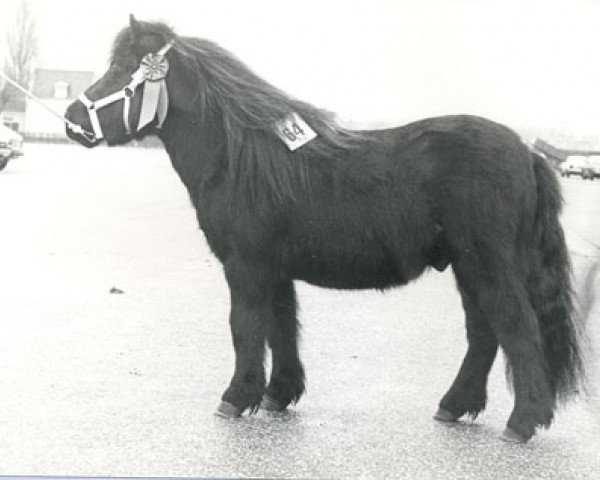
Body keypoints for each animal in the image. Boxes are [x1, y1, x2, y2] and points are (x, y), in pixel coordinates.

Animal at [67, 15, 584, 442]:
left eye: (123, 71)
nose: (72, 120)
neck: (242, 158)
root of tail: (528, 154)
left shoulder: (245, 266)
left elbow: (246, 327)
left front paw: (236, 397)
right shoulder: (274, 270)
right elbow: (281, 327)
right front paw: (278, 394)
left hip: (489, 266)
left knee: (516, 330)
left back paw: (522, 423)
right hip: (468, 267)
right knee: (484, 334)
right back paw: (455, 406)